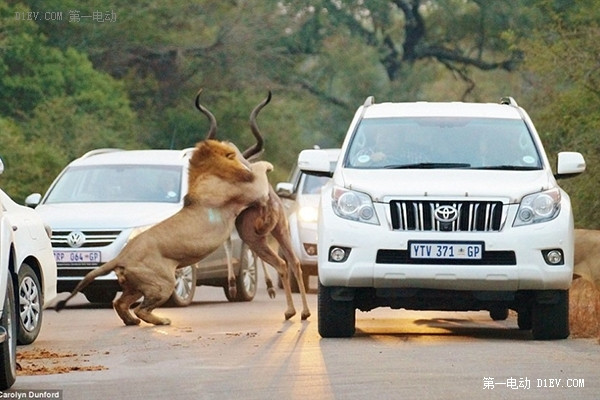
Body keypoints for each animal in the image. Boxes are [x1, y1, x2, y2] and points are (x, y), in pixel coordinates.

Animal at [55, 139, 272, 326]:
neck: (205, 174)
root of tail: (121, 257)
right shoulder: (252, 191)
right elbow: (260, 172)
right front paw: (267, 165)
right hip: (164, 282)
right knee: (141, 309)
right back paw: (161, 320)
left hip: (137, 285)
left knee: (120, 303)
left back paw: (131, 321)